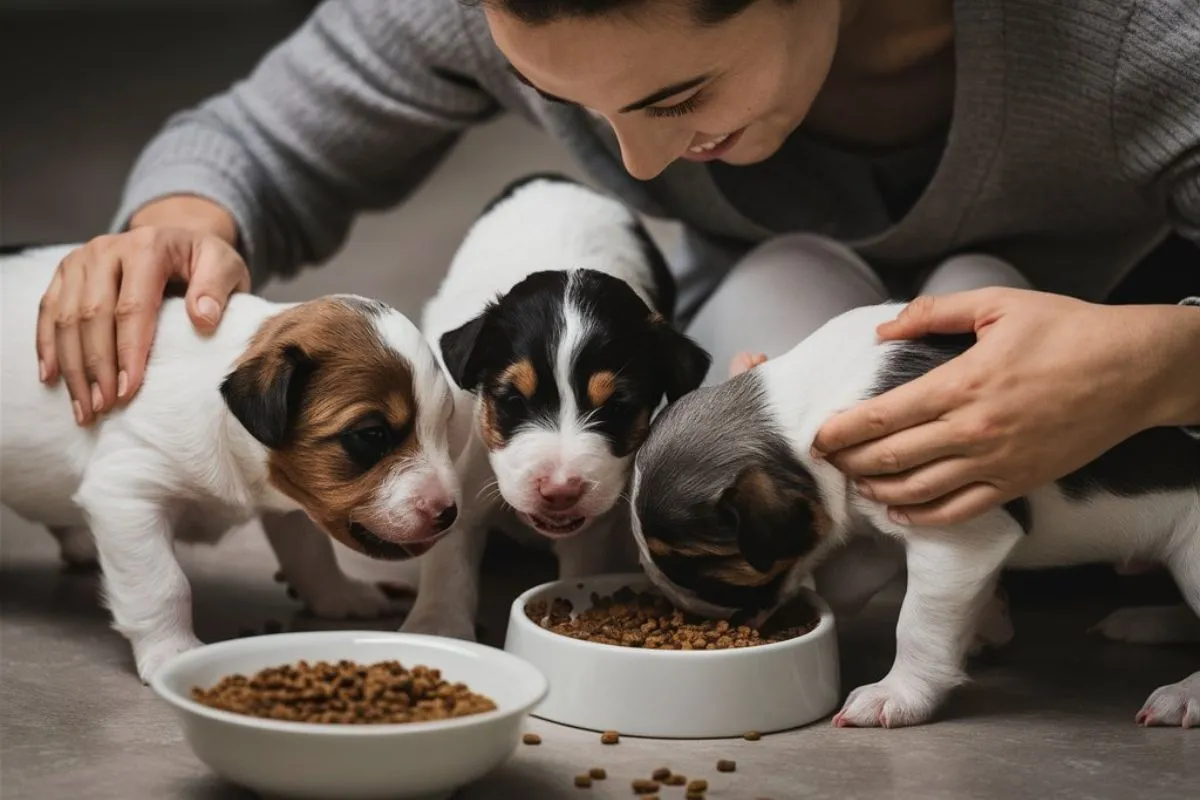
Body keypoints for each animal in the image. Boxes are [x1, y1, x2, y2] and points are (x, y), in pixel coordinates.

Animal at [400, 176, 710, 642]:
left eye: (617, 407)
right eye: (513, 401)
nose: (560, 491)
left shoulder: (592, 521)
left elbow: (580, 564)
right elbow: (448, 560)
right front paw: (436, 629)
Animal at [628, 303, 1200, 729]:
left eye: (697, 564)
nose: (684, 612)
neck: (810, 412)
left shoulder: (957, 538)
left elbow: (919, 623)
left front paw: (898, 695)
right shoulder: (875, 527)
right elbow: (846, 582)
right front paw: (990, 617)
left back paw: (1182, 696)